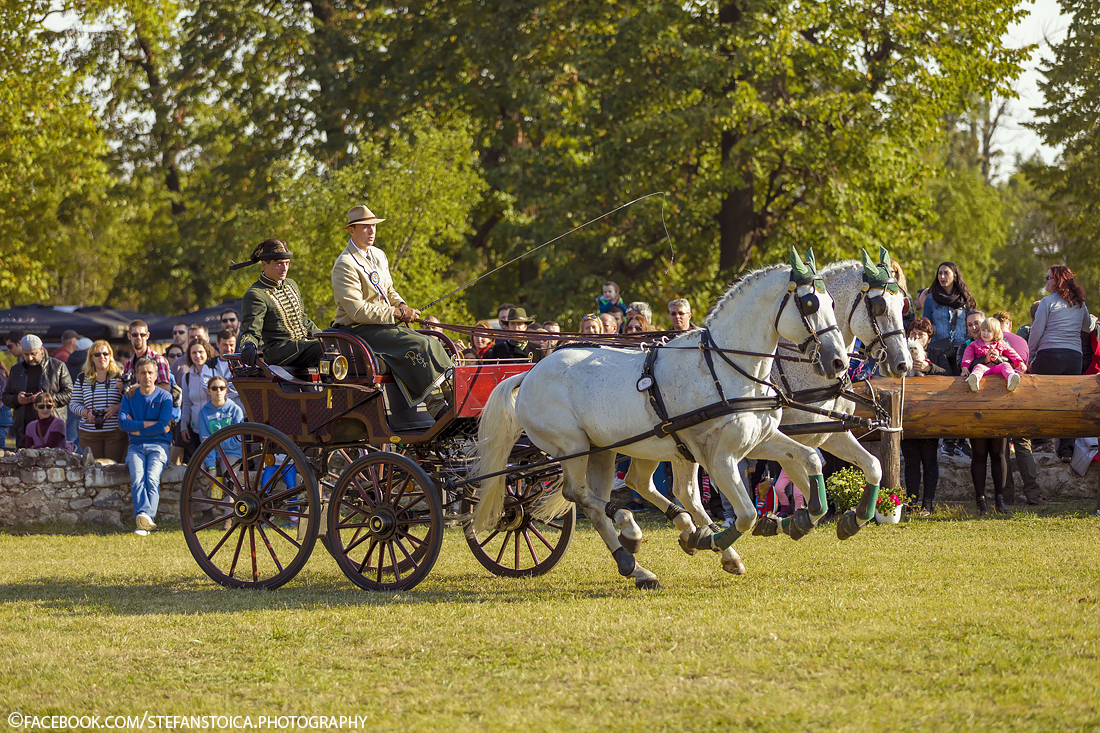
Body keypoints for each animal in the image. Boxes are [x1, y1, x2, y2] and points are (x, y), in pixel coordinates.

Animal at [471, 249, 850, 589]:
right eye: (810, 304)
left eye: (832, 303)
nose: (839, 362)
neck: (726, 367)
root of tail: (529, 373)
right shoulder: (719, 457)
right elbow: (745, 514)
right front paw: (710, 541)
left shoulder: (759, 441)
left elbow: (810, 458)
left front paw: (803, 518)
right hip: (574, 447)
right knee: (583, 496)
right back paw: (634, 544)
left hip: (613, 449)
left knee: (626, 492)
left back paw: (649, 549)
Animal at [621, 248, 912, 574]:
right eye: (878, 306)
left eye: (903, 305)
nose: (903, 364)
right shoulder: (784, 441)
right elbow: (811, 490)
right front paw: (787, 523)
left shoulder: (827, 434)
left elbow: (870, 467)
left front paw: (850, 518)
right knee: (663, 488)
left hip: (667, 446)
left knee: (659, 486)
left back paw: (694, 534)